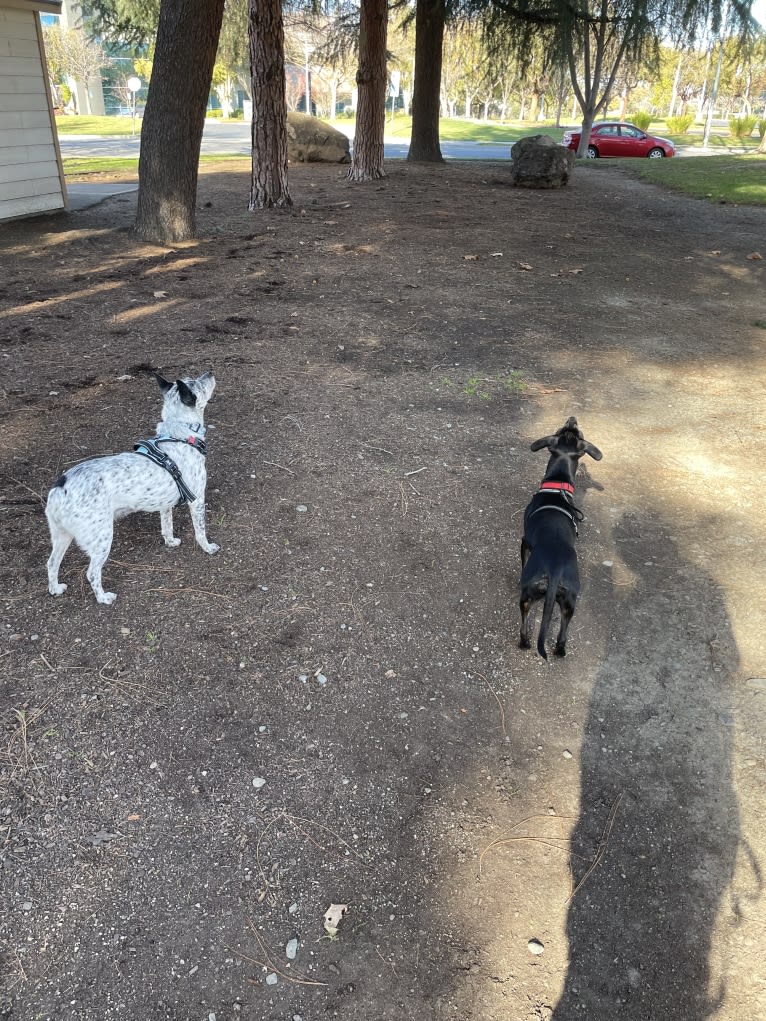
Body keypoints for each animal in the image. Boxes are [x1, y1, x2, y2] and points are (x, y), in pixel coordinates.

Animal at [45, 369, 218, 600]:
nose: (210, 372)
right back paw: (104, 598)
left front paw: (170, 542)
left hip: (61, 536)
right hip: (102, 538)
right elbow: (200, 531)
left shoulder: (165, 505)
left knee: (51, 563)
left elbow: (167, 527)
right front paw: (208, 548)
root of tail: (60, 487)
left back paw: (55, 588)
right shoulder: (197, 499)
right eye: (197, 383)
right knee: (92, 573)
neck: (179, 434)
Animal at [518, 416, 604, 661]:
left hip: (528, 593)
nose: (572, 418)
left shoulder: (524, 541)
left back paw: (524, 643)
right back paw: (559, 650)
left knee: (524, 625)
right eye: (566, 429)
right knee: (562, 634)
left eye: (577, 430)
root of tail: (555, 571)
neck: (558, 486)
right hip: (570, 602)